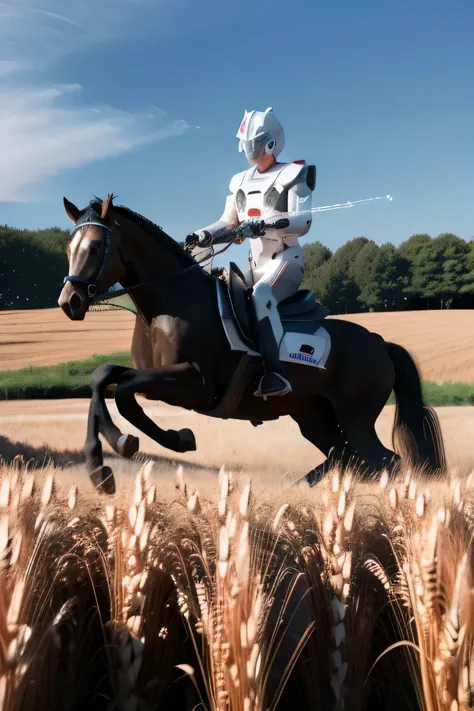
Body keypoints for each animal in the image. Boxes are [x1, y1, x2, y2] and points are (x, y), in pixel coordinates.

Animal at [57, 195, 446, 496]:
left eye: (95, 247)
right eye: (68, 248)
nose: (69, 302)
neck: (167, 306)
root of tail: (380, 342)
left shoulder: (194, 385)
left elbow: (123, 392)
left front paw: (167, 439)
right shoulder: (153, 377)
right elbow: (104, 378)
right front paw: (99, 467)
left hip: (357, 417)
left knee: (384, 461)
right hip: (313, 416)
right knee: (347, 456)